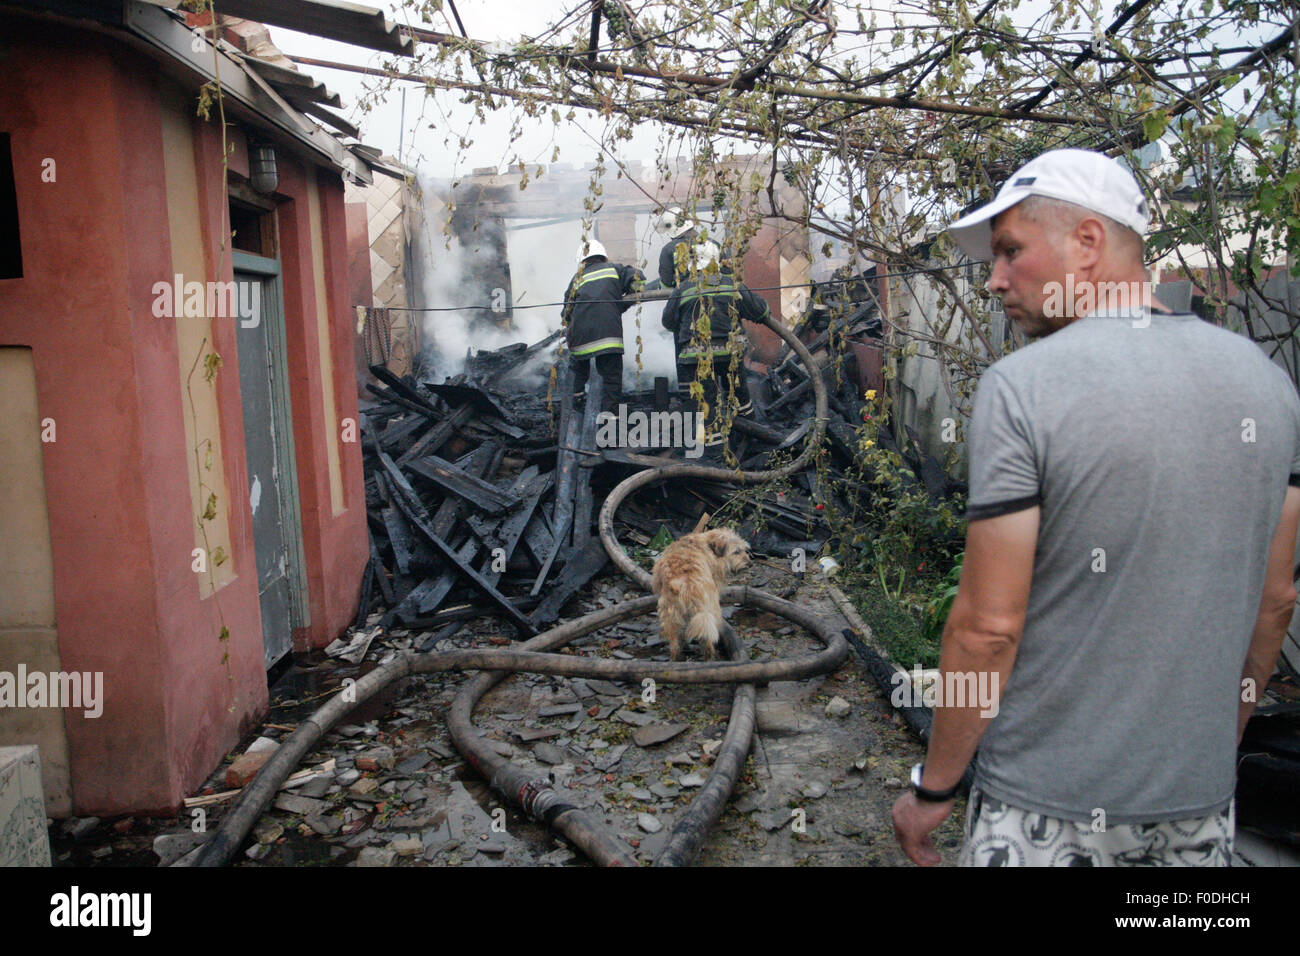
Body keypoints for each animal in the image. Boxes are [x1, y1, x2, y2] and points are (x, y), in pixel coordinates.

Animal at [650, 528, 754, 660]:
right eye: (736, 551)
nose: (750, 564)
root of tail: (688, 583)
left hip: (671, 614)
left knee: (675, 641)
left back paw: (676, 657)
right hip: (710, 611)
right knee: (708, 638)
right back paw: (710, 658)